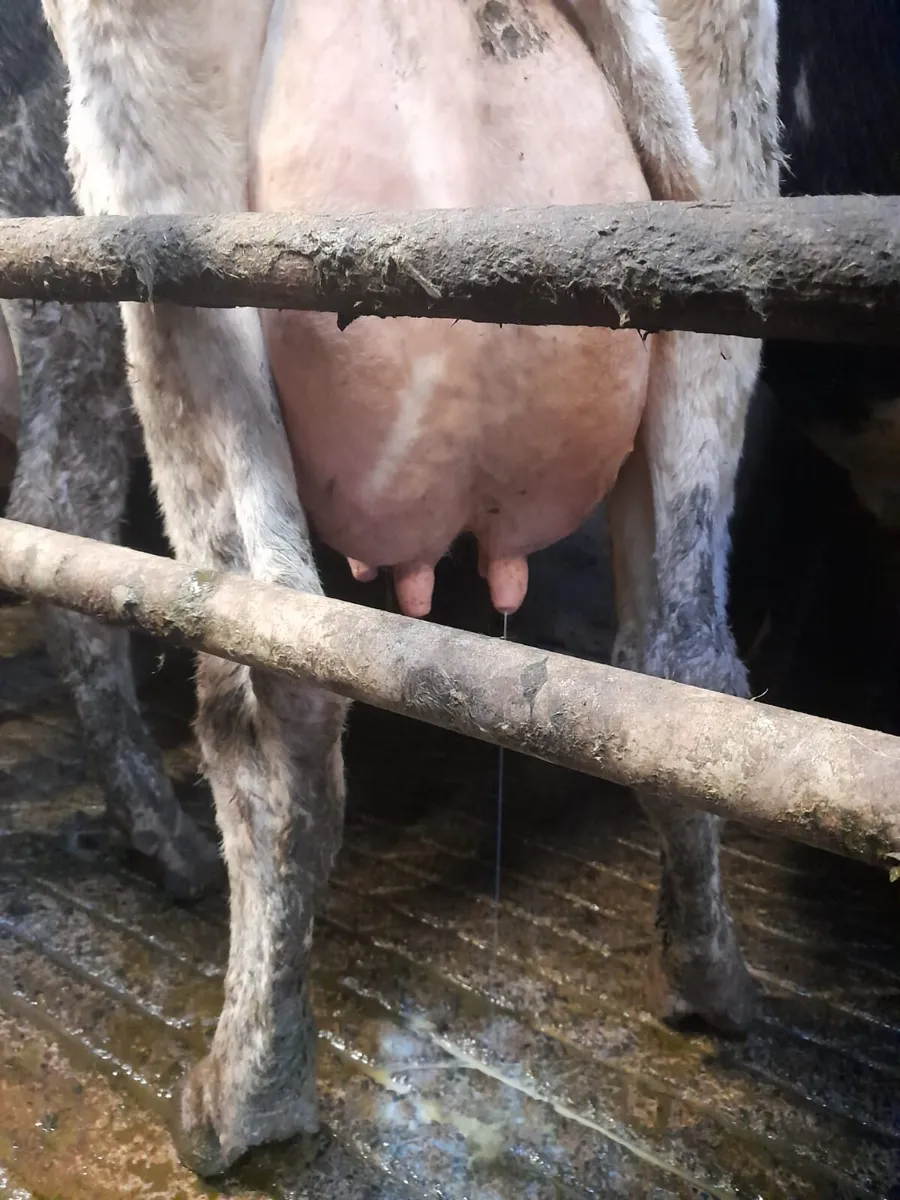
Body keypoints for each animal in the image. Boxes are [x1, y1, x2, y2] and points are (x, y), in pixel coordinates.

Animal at [20, 0, 779, 1176]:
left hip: (160, 219)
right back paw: (708, 977)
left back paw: (242, 1076)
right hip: (717, 218)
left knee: (257, 666)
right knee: (683, 662)